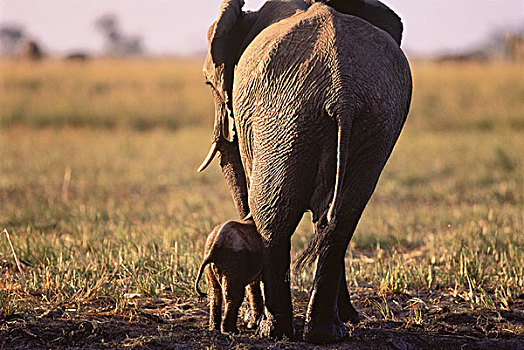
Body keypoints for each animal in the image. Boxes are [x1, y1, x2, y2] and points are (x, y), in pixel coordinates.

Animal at [199, 0, 412, 344]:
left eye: (209, 83)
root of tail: (343, 95)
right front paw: (350, 319)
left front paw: (251, 322)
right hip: (374, 122)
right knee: (341, 220)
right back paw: (328, 333)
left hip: (282, 116)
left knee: (273, 218)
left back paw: (273, 330)